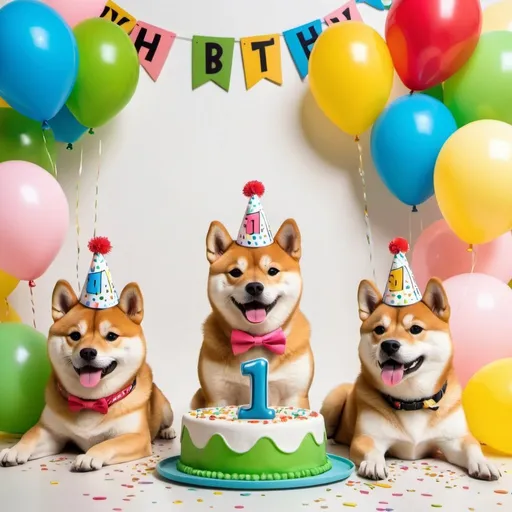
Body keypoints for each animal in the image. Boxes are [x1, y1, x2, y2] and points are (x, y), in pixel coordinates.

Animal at [1, 238, 175, 470]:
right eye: (75, 335)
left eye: (111, 336)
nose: (88, 352)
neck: (91, 402)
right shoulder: (50, 431)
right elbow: (29, 435)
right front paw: (14, 449)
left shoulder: (136, 437)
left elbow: (108, 443)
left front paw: (90, 455)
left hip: (165, 408)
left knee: (167, 421)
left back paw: (168, 431)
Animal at [191, 182, 314, 410]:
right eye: (235, 272)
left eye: (272, 271)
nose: (255, 287)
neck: (257, 340)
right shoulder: (218, 396)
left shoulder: (295, 394)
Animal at [320, 238, 500, 482]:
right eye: (379, 330)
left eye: (415, 329)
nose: (389, 344)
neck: (412, 401)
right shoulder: (368, 437)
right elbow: (371, 450)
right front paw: (373, 463)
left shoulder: (455, 440)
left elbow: (473, 446)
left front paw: (484, 462)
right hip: (335, 398)